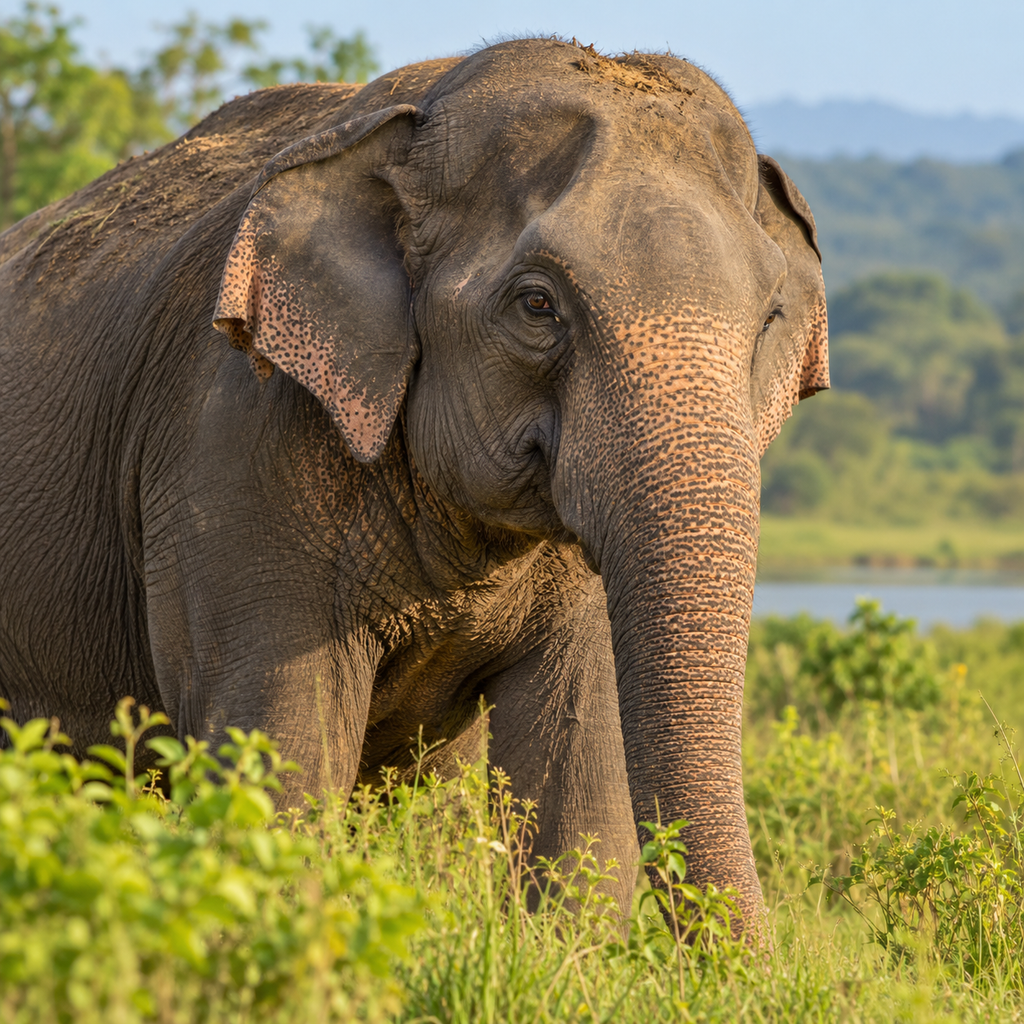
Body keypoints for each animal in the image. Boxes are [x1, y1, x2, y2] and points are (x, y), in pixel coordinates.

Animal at [0, 37, 828, 935]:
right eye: (537, 303)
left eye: (769, 318)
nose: (755, 959)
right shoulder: (228, 443)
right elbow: (281, 754)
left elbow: (580, 766)